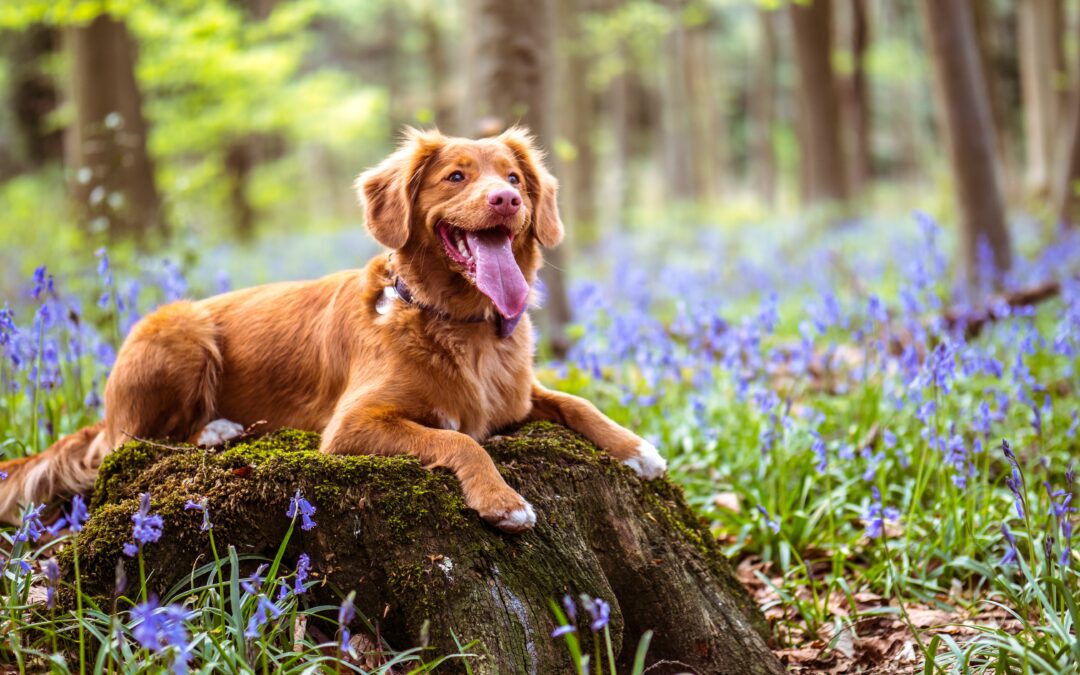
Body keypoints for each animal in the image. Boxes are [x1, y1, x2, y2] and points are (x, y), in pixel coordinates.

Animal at [0, 127, 665, 531]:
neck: (458, 324)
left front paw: (637, 449)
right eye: (456, 176)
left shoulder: (518, 397)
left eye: (515, 178)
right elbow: (462, 441)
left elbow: (577, 402)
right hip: (179, 329)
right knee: (133, 442)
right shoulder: (351, 426)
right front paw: (503, 501)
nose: (507, 200)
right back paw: (215, 429)